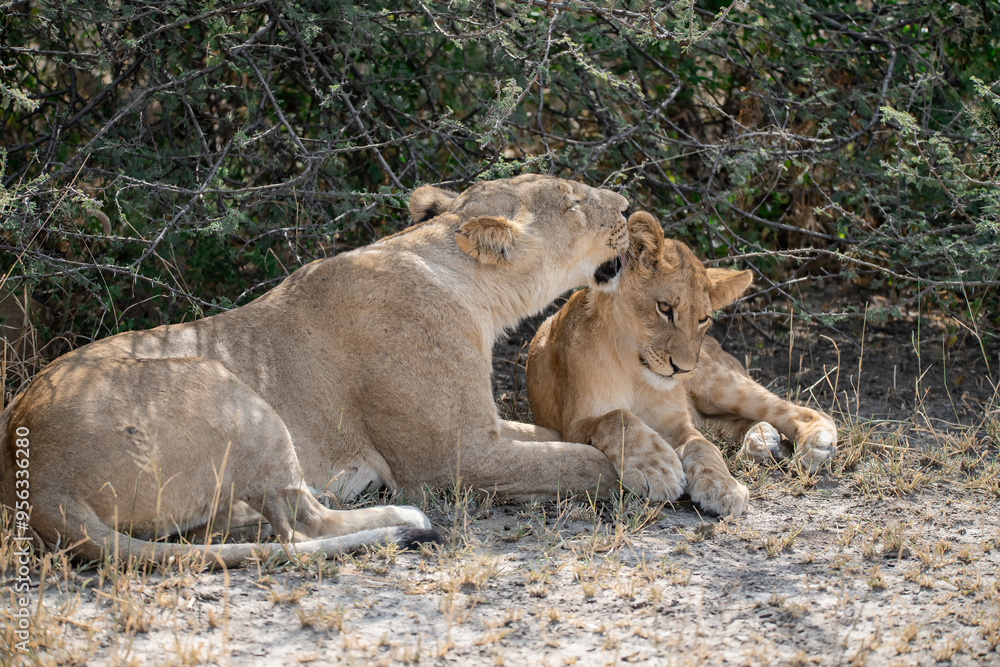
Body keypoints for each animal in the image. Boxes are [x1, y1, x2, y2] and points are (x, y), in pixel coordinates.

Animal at [0, 175, 634, 567]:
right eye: (575, 203)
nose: (628, 204)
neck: (467, 287)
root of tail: (39, 481)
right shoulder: (455, 458)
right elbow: (583, 463)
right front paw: (643, 468)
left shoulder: (489, 427)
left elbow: (558, 436)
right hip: (231, 391)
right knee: (306, 524)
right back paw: (401, 517)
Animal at [526, 212, 838, 517]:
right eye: (664, 308)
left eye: (703, 319)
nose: (683, 369)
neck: (636, 371)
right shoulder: (572, 426)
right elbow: (618, 418)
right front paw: (657, 468)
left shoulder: (677, 422)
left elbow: (703, 446)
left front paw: (723, 485)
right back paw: (762, 442)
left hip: (716, 383)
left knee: (802, 411)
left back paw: (814, 444)